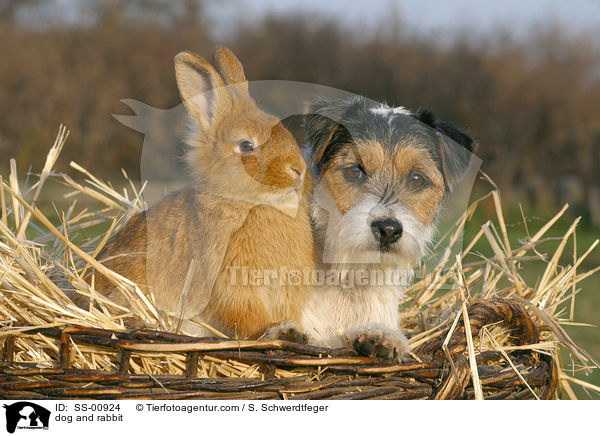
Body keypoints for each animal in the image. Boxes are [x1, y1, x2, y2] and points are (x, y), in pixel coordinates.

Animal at [88, 46, 318, 340]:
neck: (248, 204)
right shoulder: (232, 288)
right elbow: (248, 319)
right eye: (246, 145)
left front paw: (294, 330)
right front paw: (279, 331)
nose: (298, 170)